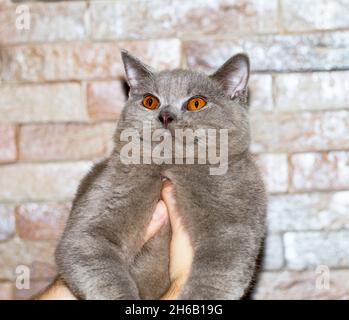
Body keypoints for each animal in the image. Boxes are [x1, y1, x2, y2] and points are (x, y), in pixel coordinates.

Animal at [55, 50, 266, 300]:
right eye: (150, 101)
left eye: (196, 103)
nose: (165, 116)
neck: (170, 168)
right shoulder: (90, 229)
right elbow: (98, 266)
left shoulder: (232, 227)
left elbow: (214, 277)